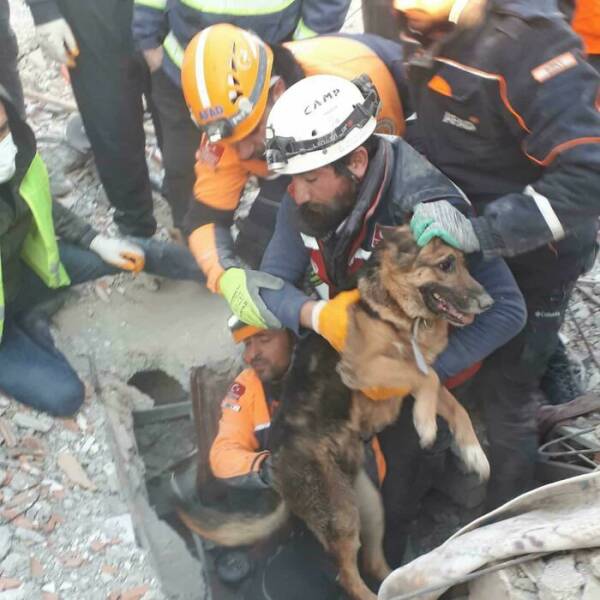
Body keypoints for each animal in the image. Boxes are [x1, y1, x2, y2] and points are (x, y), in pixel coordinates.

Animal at [177, 226, 492, 600]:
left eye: (464, 262)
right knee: (347, 575)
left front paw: (474, 453)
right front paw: (426, 423)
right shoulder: (365, 369)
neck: (394, 307)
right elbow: (427, 379)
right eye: (445, 264)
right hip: (340, 514)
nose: (488, 302)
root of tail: (275, 464)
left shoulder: (411, 374)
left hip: (368, 507)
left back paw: (404, 580)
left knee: (371, 561)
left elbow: (454, 404)